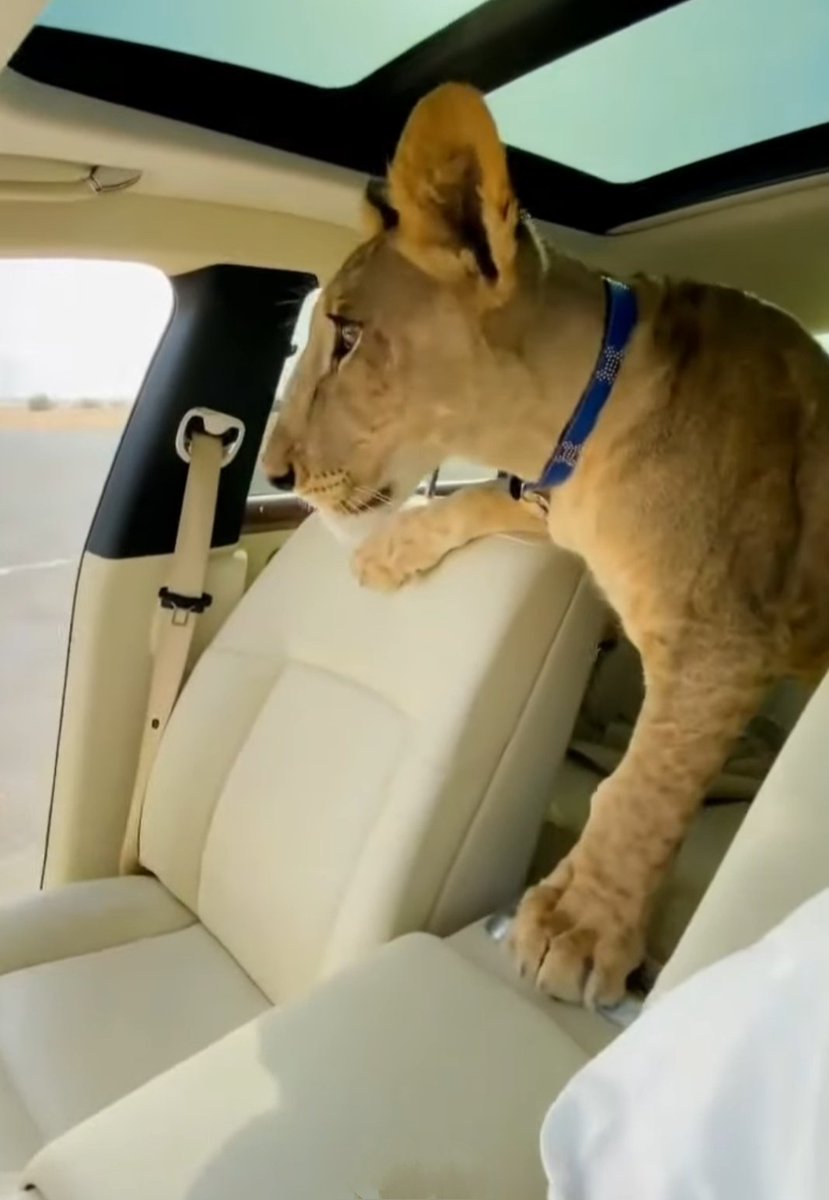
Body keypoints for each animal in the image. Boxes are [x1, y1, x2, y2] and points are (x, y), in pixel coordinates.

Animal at [262, 83, 829, 1007]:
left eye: (346, 336)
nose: (274, 471)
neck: (576, 428)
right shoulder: (549, 503)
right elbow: (478, 496)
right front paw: (390, 552)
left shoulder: (720, 641)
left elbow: (640, 787)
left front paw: (579, 926)